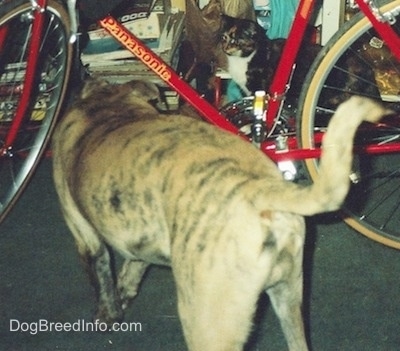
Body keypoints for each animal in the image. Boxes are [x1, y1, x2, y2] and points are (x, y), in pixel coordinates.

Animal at [51, 80, 386, 351]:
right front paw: (124, 291)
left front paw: (107, 314)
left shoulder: (84, 235)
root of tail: (255, 187)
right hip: (289, 296)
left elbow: (102, 278)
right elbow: (133, 267)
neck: (107, 110)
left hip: (207, 322)